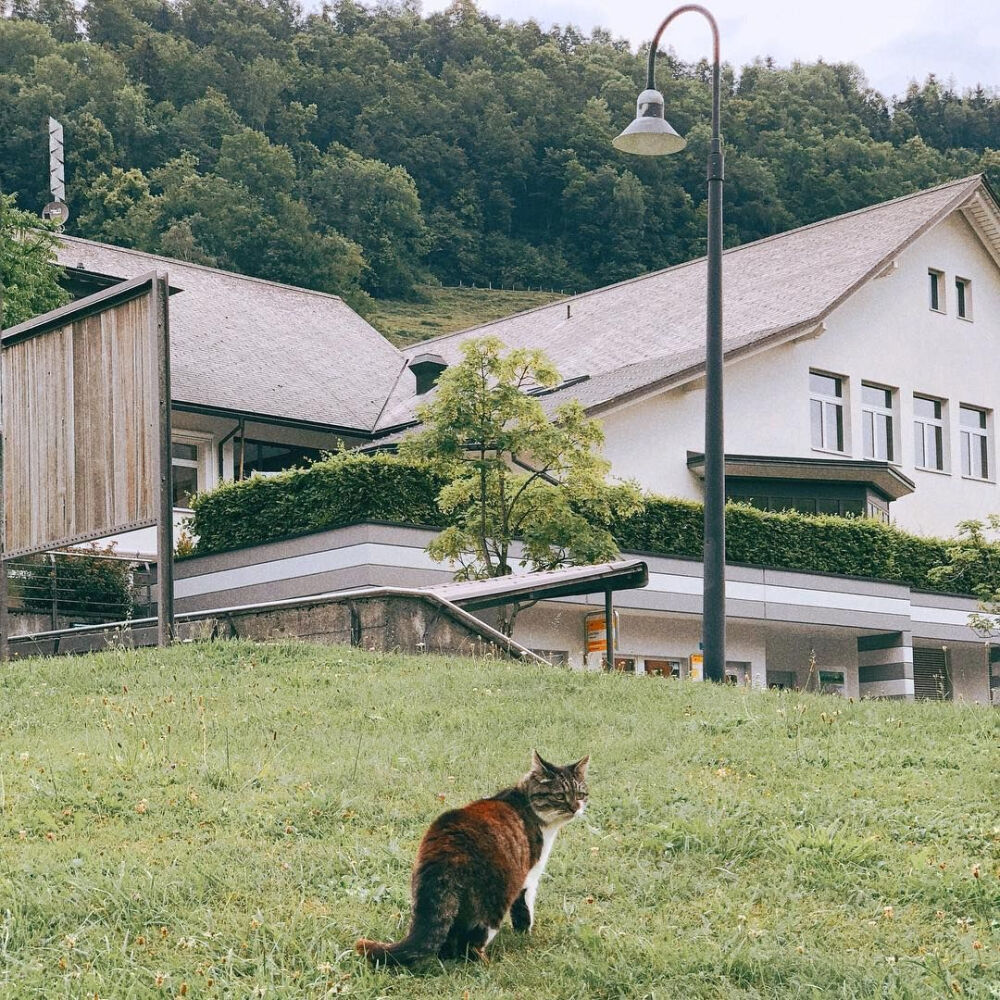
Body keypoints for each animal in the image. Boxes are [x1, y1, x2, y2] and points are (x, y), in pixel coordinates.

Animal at [358, 748, 584, 964]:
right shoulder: (529, 877)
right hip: (493, 901)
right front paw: (525, 936)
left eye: (581, 794)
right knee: (471, 945)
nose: (575, 808)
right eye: (560, 796)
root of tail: (446, 847)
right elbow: (524, 911)